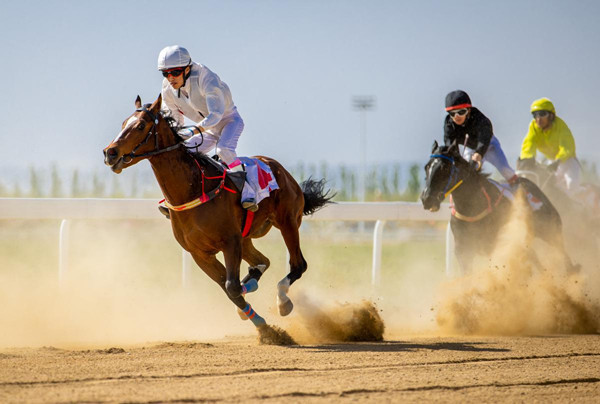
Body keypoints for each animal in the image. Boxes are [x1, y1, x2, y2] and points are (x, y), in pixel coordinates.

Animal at [105, 94, 336, 328]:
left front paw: (264, 325)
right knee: (262, 262)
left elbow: (231, 286)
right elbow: (228, 288)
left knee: (298, 265)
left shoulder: (230, 242)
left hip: (287, 222)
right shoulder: (199, 253)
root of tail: (282, 171)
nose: (110, 152)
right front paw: (250, 312)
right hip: (247, 238)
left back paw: (283, 301)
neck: (193, 189)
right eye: (124, 123)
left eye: (141, 125)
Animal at [420, 140, 576, 274]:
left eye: (445, 167)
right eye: (427, 167)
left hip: (550, 230)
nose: (426, 198)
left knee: (562, 252)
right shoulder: (464, 251)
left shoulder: (496, 246)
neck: (472, 207)